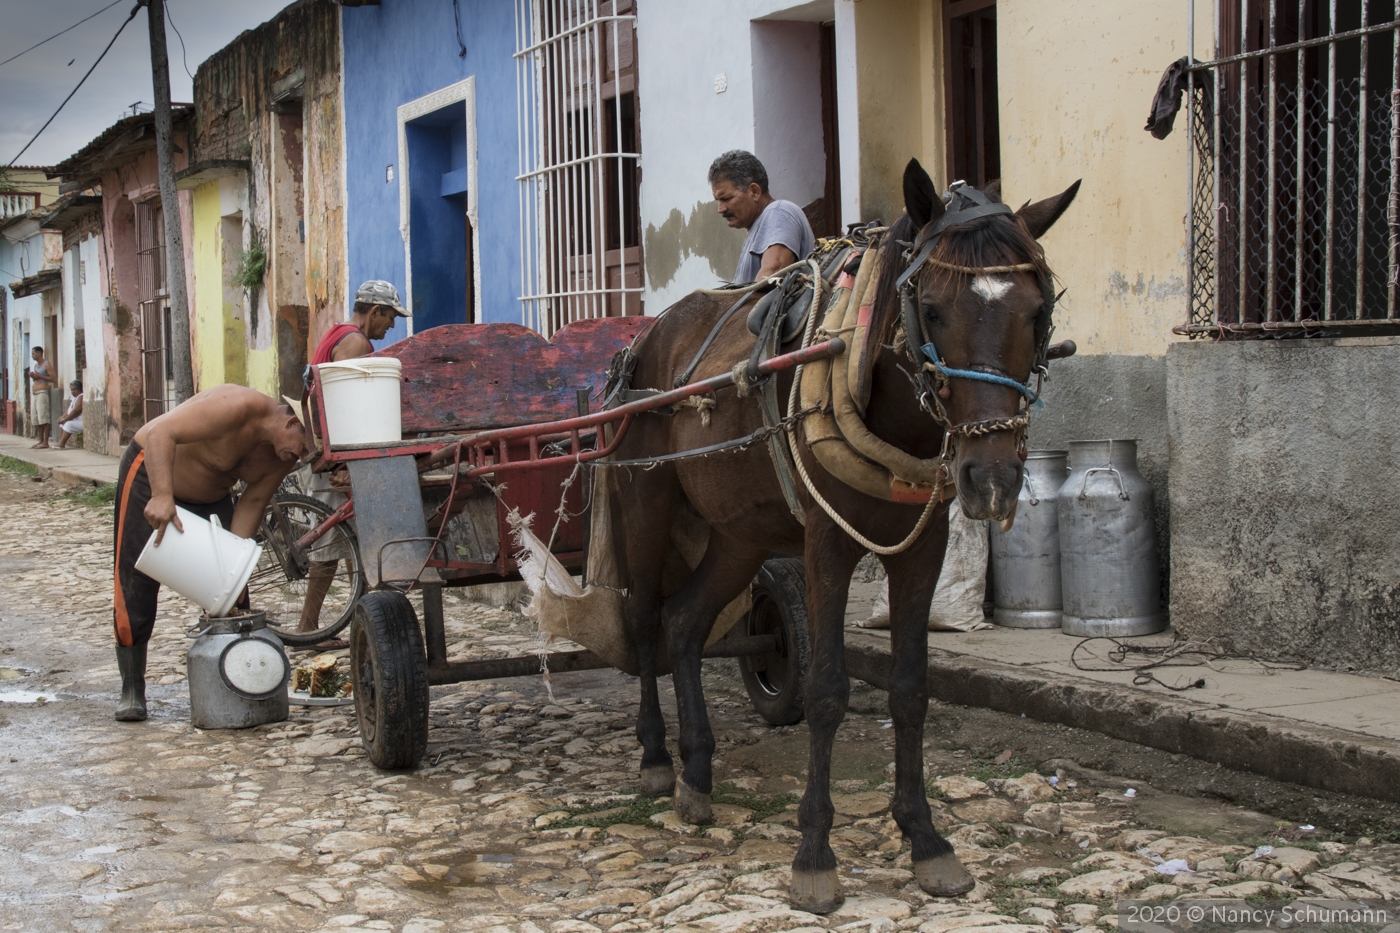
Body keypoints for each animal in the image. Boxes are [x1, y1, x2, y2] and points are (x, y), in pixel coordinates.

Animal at [613, 159, 1080, 907]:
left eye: (1038, 312)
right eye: (934, 309)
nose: (991, 477)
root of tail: (646, 337)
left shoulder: (922, 548)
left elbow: (911, 688)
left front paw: (926, 839)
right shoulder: (826, 544)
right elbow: (828, 690)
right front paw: (814, 854)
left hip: (739, 532)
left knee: (685, 621)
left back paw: (699, 772)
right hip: (645, 502)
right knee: (646, 618)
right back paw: (658, 756)